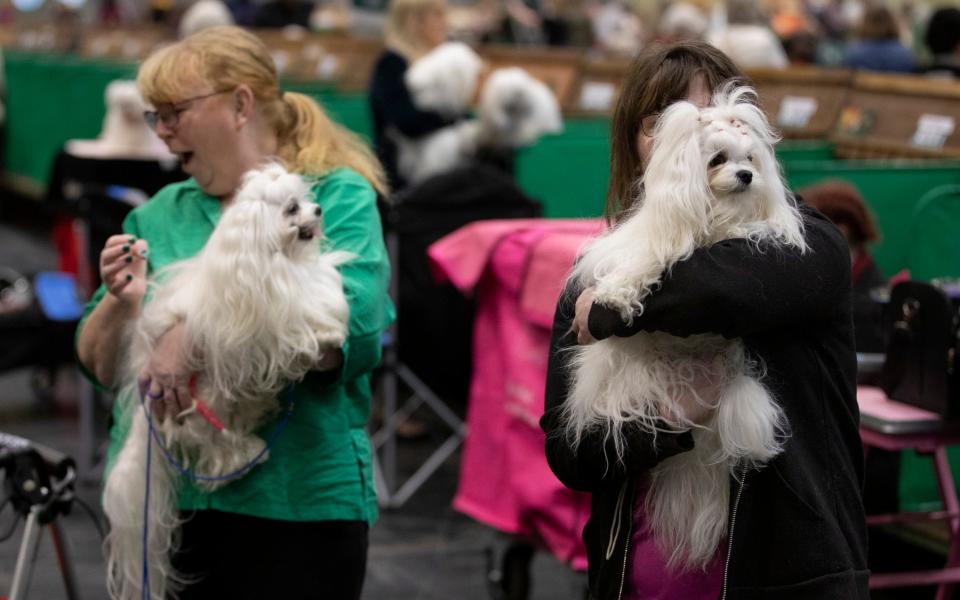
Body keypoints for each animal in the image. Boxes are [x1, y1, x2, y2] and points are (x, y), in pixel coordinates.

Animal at [105, 163, 352, 600]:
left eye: (306, 199)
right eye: (291, 209)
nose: (319, 209)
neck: (277, 262)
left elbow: (320, 304)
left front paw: (328, 332)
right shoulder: (264, 316)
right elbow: (293, 327)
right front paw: (315, 339)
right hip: (195, 403)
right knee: (212, 441)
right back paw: (244, 455)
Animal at [560, 85, 808, 572]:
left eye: (750, 158)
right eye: (717, 160)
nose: (746, 176)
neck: (710, 220)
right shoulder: (654, 240)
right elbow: (644, 261)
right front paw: (616, 295)